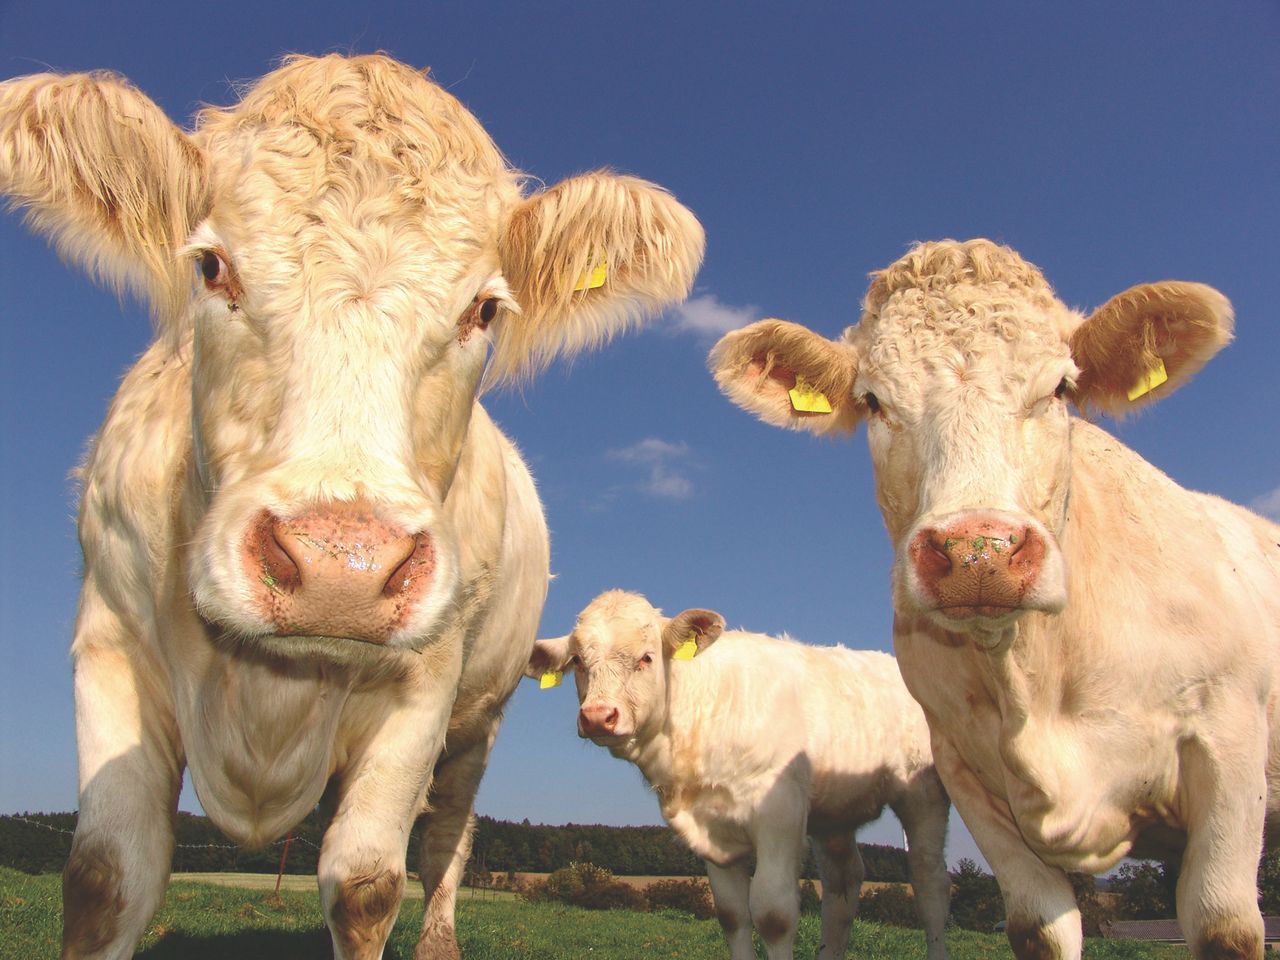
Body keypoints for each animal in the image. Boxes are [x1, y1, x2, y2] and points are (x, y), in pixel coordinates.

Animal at [0, 54, 703, 960]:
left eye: (484, 308)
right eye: (211, 267)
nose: (342, 568)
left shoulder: (426, 687)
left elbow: (368, 883)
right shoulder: (110, 641)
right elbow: (106, 874)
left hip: (478, 721)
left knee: (444, 840)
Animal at [527, 589, 952, 960]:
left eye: (646, 658)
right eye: (578, 661)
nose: (598, 716)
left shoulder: (779, 814)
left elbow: (774, 915)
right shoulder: (711, 832)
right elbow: (732, 916)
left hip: (923, 793)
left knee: (929, 883)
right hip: (834, 814)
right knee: (843, 886)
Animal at [710, 239, 1280, 960]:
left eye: (1060, 387)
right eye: (873, 400)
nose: (978, 551)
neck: (1036, 675)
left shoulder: (1228, 743)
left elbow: (1223, 923)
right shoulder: (968, 774)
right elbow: (1038, 928)